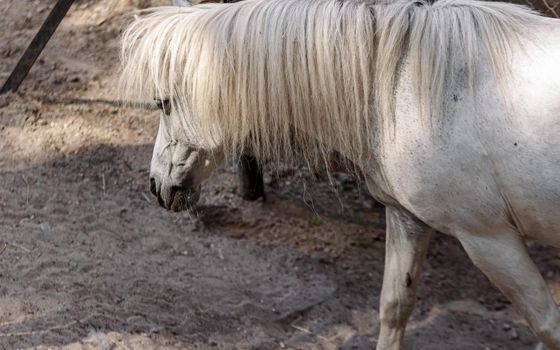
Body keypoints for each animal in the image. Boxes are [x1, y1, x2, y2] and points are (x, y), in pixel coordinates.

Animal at [119, 0, 560, 348]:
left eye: (163, 103)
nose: (156, 186)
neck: (410, 89)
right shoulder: (407, 219)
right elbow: (394, 309)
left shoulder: (489, 239)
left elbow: (547, 325)